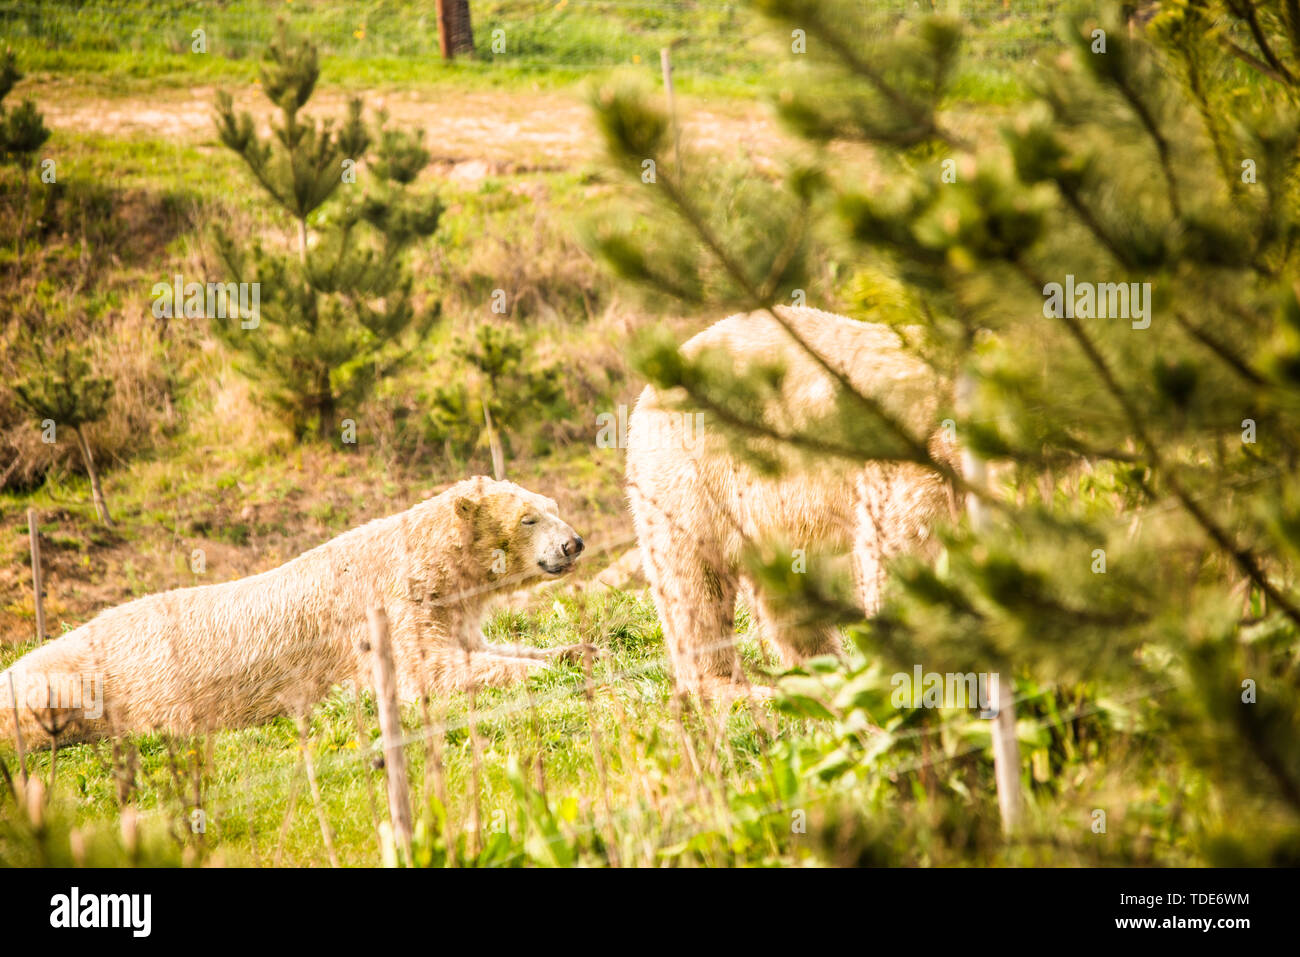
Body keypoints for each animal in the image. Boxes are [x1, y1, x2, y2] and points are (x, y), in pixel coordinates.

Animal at [0, 478, 590, 748]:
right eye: (530, 518)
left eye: (554, 507)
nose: (575, 543)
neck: (422, 561)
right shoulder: (386, 611)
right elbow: (427, 669)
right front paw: (538, 672)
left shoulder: (446, 607)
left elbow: (475, 645)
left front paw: (572, 650)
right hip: (79, 683)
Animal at [624, 304, 961, 696]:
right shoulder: (916, 459)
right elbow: (900, 551)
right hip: (693, 473)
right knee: (693, 578)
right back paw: (731, 685)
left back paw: (824, 670)